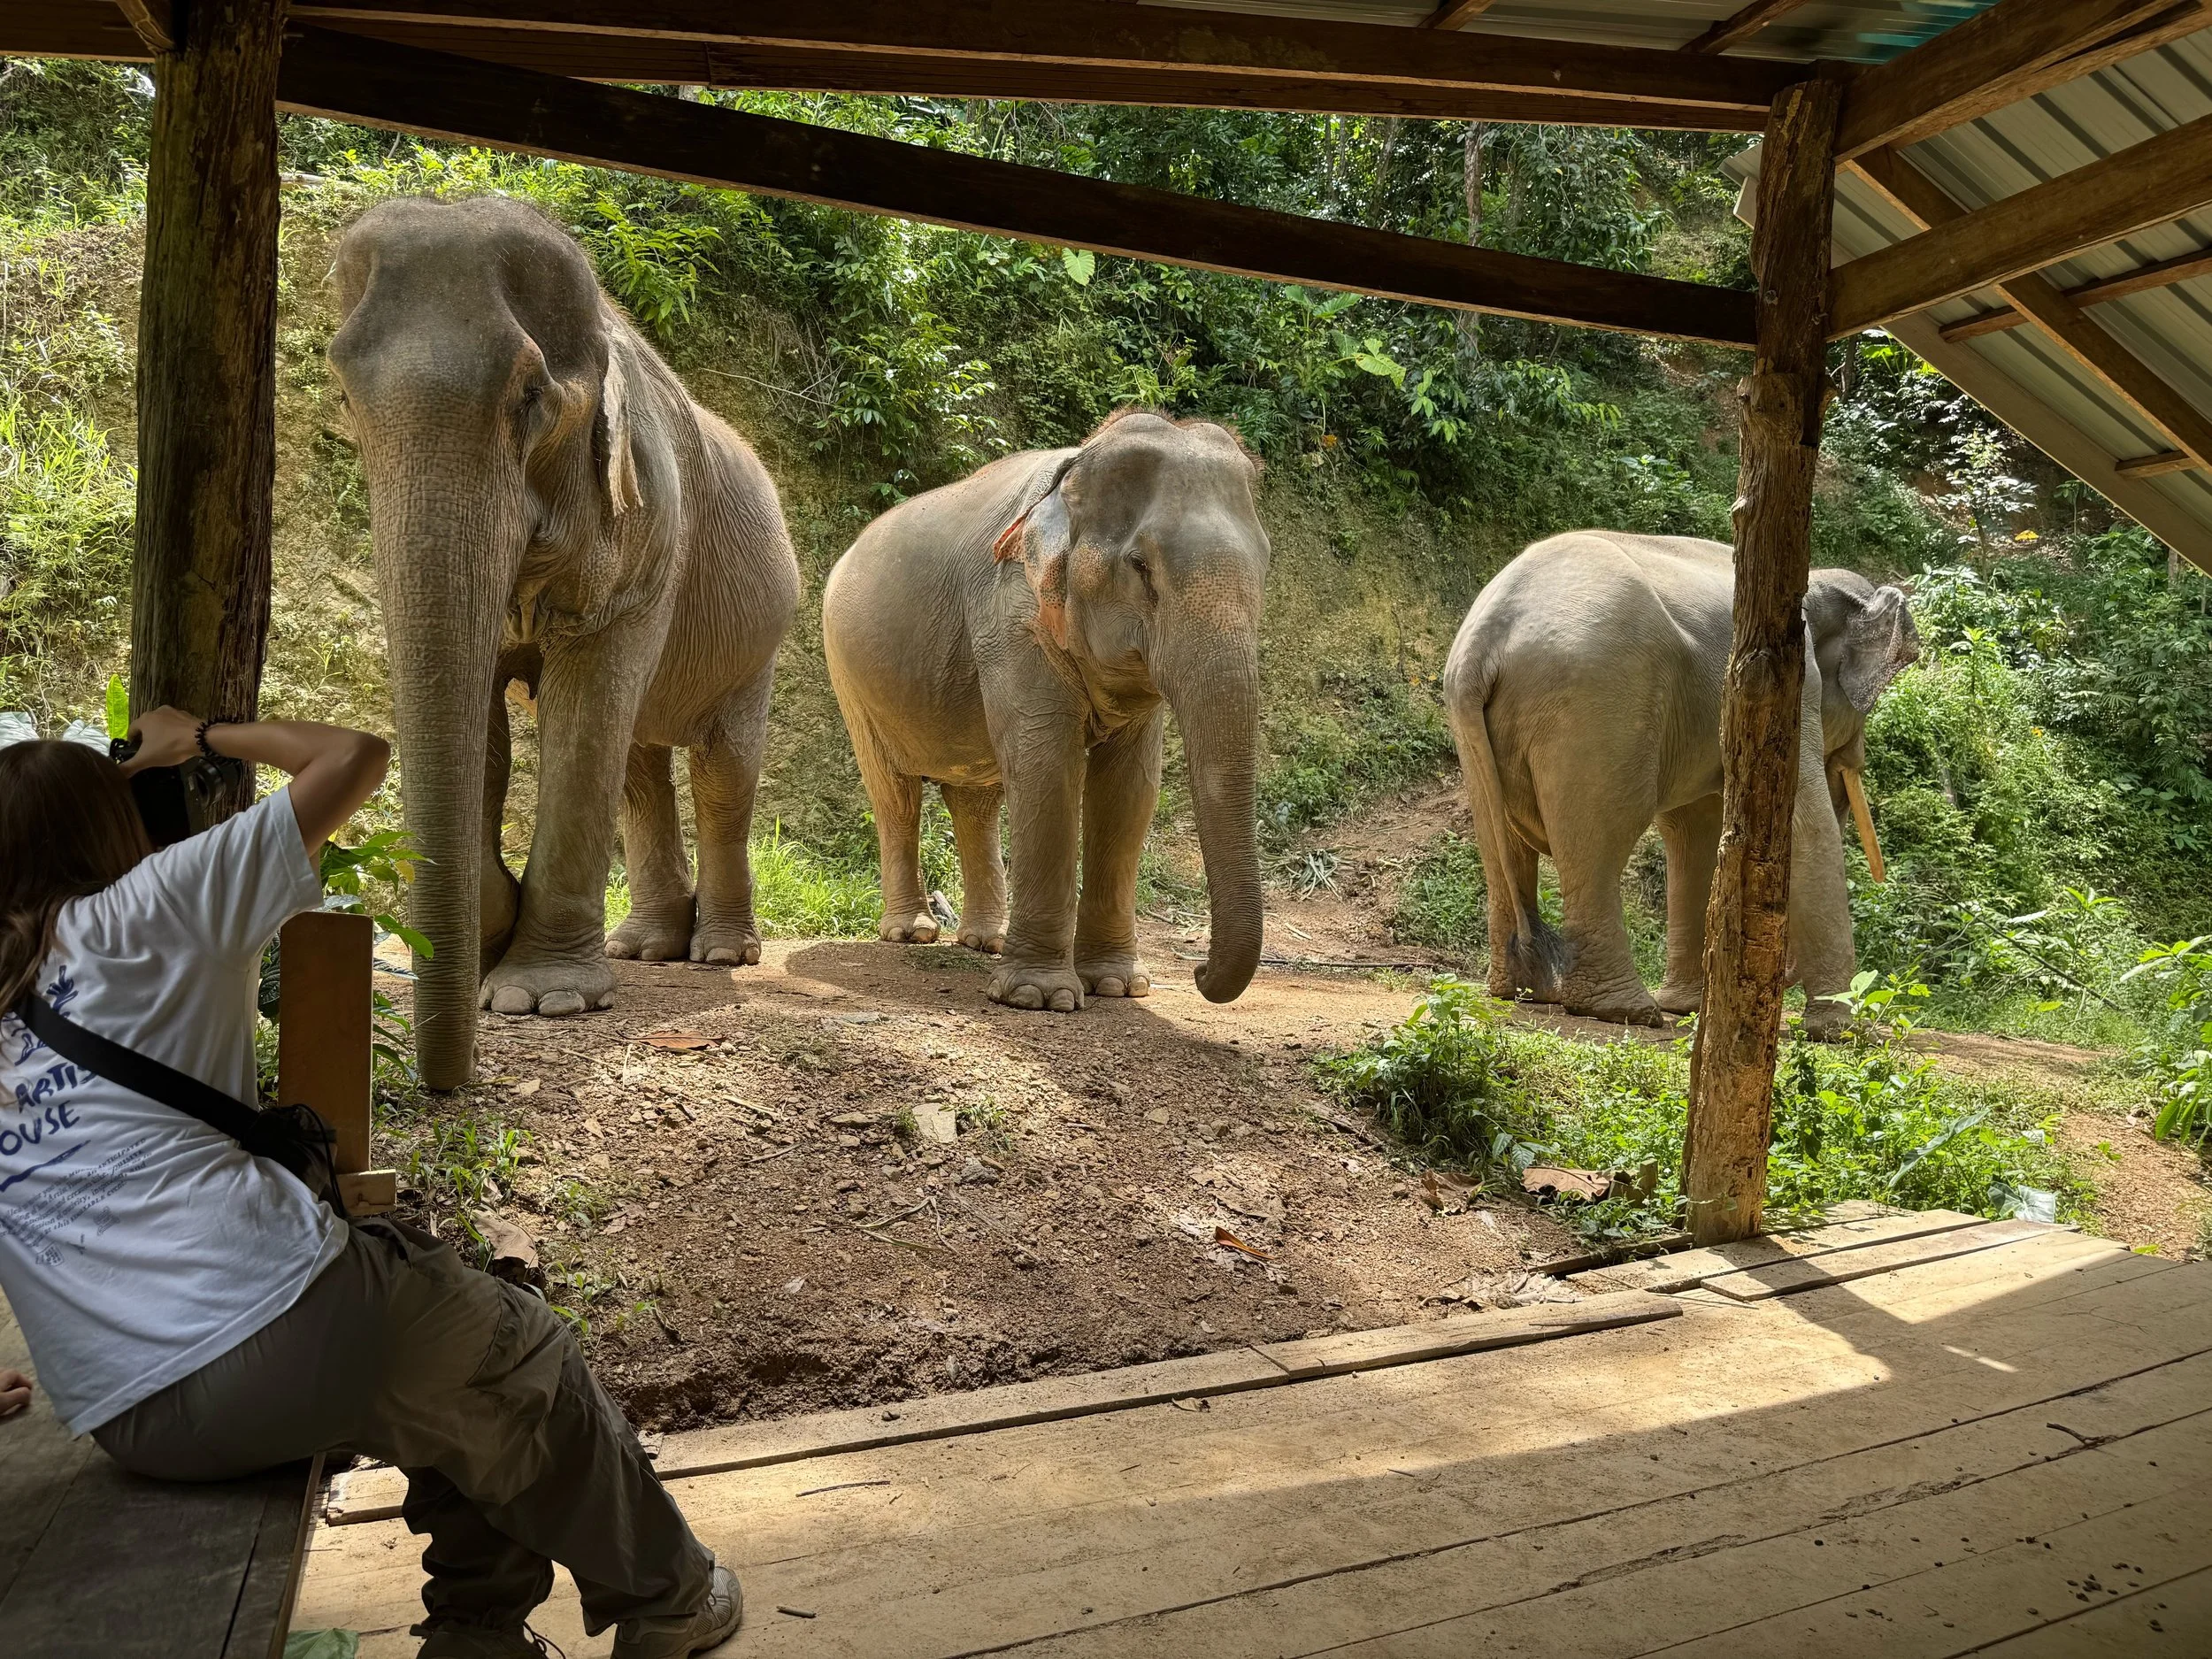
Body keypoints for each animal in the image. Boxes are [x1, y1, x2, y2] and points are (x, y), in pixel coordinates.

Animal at [328, 196, 801, 1088]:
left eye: (530, 394)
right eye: (343, 391)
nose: (447, 1082)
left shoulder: (647, 536)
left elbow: (582, 715)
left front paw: (538, 997)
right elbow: (483, 720)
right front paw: (492, 939)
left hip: (760, 638)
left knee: (720, 768)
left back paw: (720, 952)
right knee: (640, 765)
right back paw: (645, 947)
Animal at [821, 411, 1269, 1012]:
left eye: (1265, 567)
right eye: (1140, 566)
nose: (1198, 970)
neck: (1075, 470)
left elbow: (1130, 789)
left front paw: (1117, 987)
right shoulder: (1011, 616)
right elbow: (1048, 768)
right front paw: (1039, 998)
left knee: (976, 798)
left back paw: (985, 941)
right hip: (850, 675)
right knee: (894, 793)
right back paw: (910, 933)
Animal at [1442, 531, 1918, 1036]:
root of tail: (1484, 638)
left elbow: (1696, 830)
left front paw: (1686, 1007)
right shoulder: (1792, 683)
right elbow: (1805, 822)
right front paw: (1843, 1032)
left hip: (1478, 721)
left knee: (1504, 845)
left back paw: (1525, 991)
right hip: (1597, 703)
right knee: (1603, 837)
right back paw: (1625, 1011)